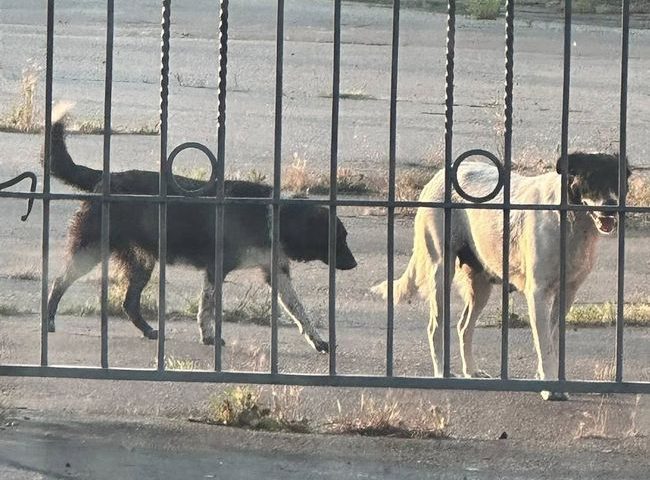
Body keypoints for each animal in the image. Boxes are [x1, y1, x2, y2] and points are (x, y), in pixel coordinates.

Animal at [46, 102, 357, 352]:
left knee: (129, 303)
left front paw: (318, 341)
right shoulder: (216, 268)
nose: (354, 264)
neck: (275, 216)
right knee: (59, 282)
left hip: (142, 262)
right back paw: (49, 321)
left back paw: (149, 331)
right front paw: (209, 337)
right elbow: (208, 306)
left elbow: (299, 311)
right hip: (90, 249)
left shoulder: (277, 273)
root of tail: (103, 178)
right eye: (339, 238)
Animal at [372, 153, 627, 399]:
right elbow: (544, 344)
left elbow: (552, 339)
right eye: (591, 178)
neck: (570, 219)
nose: (611, 206)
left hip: (480, 286)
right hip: (441, 273)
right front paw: (548, 386)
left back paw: (472, 371)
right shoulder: (538, 294)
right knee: (435, 328)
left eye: (618, 179)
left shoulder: (568, 293)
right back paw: (443, 373)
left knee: (464, 326)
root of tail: (440, 174)